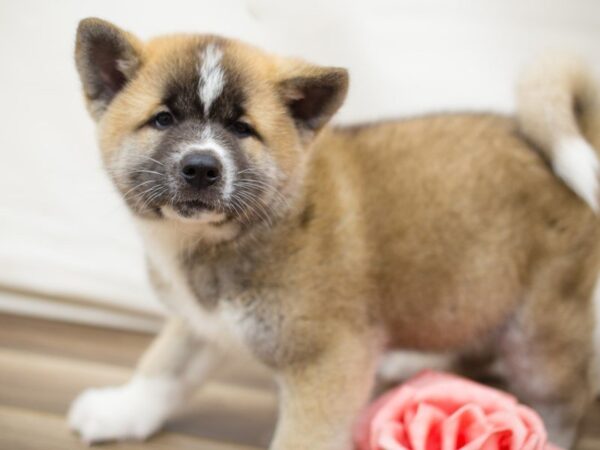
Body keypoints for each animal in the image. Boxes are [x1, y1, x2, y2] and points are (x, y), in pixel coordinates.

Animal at [69, 17, 600, 450]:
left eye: (242, 129)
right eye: (163, 119)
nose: (201, 167)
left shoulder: (328, 362)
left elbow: (303, 437)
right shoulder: (202, 322)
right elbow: (163, 368)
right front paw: (121, 410)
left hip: (538, 334)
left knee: (563, 401)